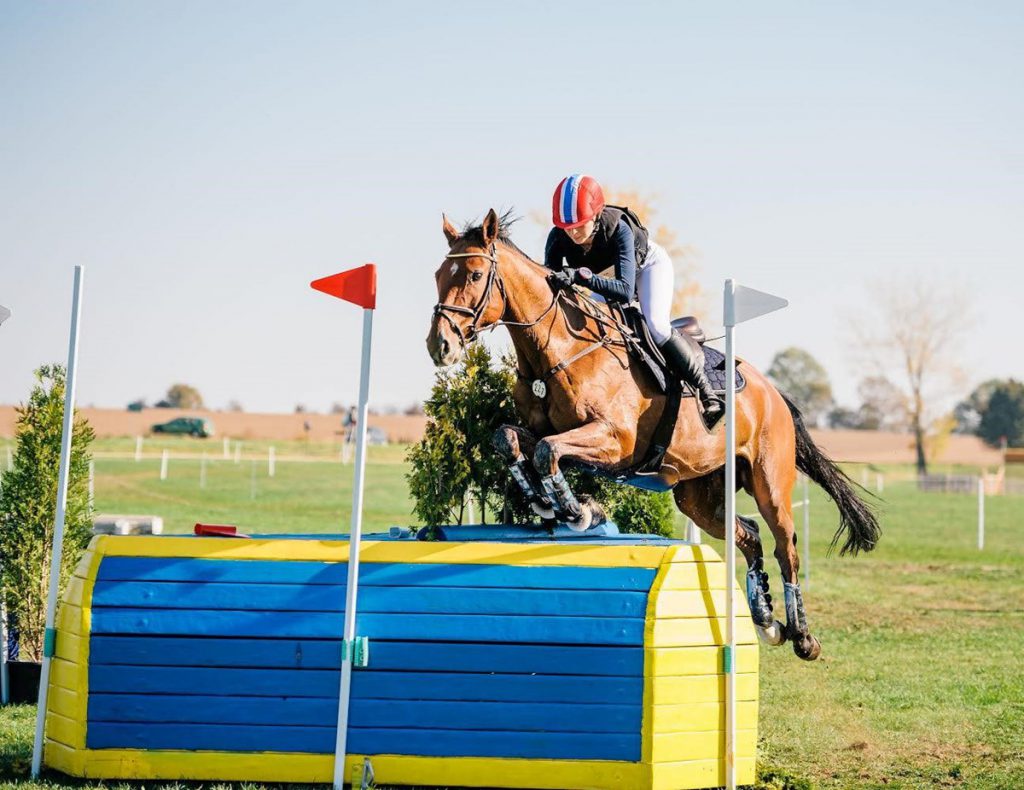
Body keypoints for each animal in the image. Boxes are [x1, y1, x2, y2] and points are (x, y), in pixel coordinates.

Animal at [426, 209, 880, 661]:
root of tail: (772, 392)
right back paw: (766, 620)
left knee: (785, 545)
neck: (557, 350)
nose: (439, 345)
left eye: (475, 274)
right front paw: (548, 503)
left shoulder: (614, 441)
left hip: (769, 482)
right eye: (438, 274)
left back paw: (802, 636)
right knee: (748, 535)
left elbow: (548, 452)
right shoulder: (543, 431)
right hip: (698, 495)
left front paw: (578, 511)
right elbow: (512, 440)